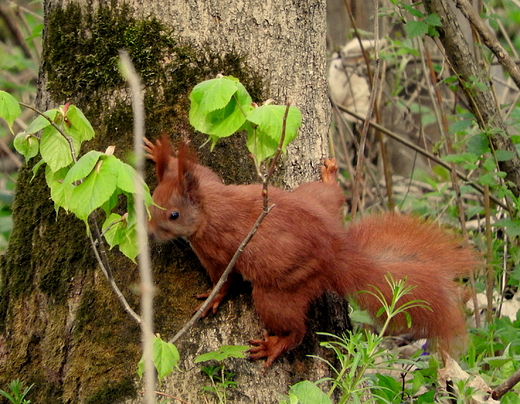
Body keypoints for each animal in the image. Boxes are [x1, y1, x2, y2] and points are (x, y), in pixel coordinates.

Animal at [143, 137, 480, 368]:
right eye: (151, 199)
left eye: (173, 215)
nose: (148, 232)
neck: (208, 205)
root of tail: (335, 257)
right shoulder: (209, 181)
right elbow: (204, 170)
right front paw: (160, 154)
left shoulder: (215, 247)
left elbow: (225, 279)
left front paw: (212, 298)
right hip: (313, 198)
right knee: (331, 195)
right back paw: (330, 175)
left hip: (278, 293)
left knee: (297, 329)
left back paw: (276, 345)